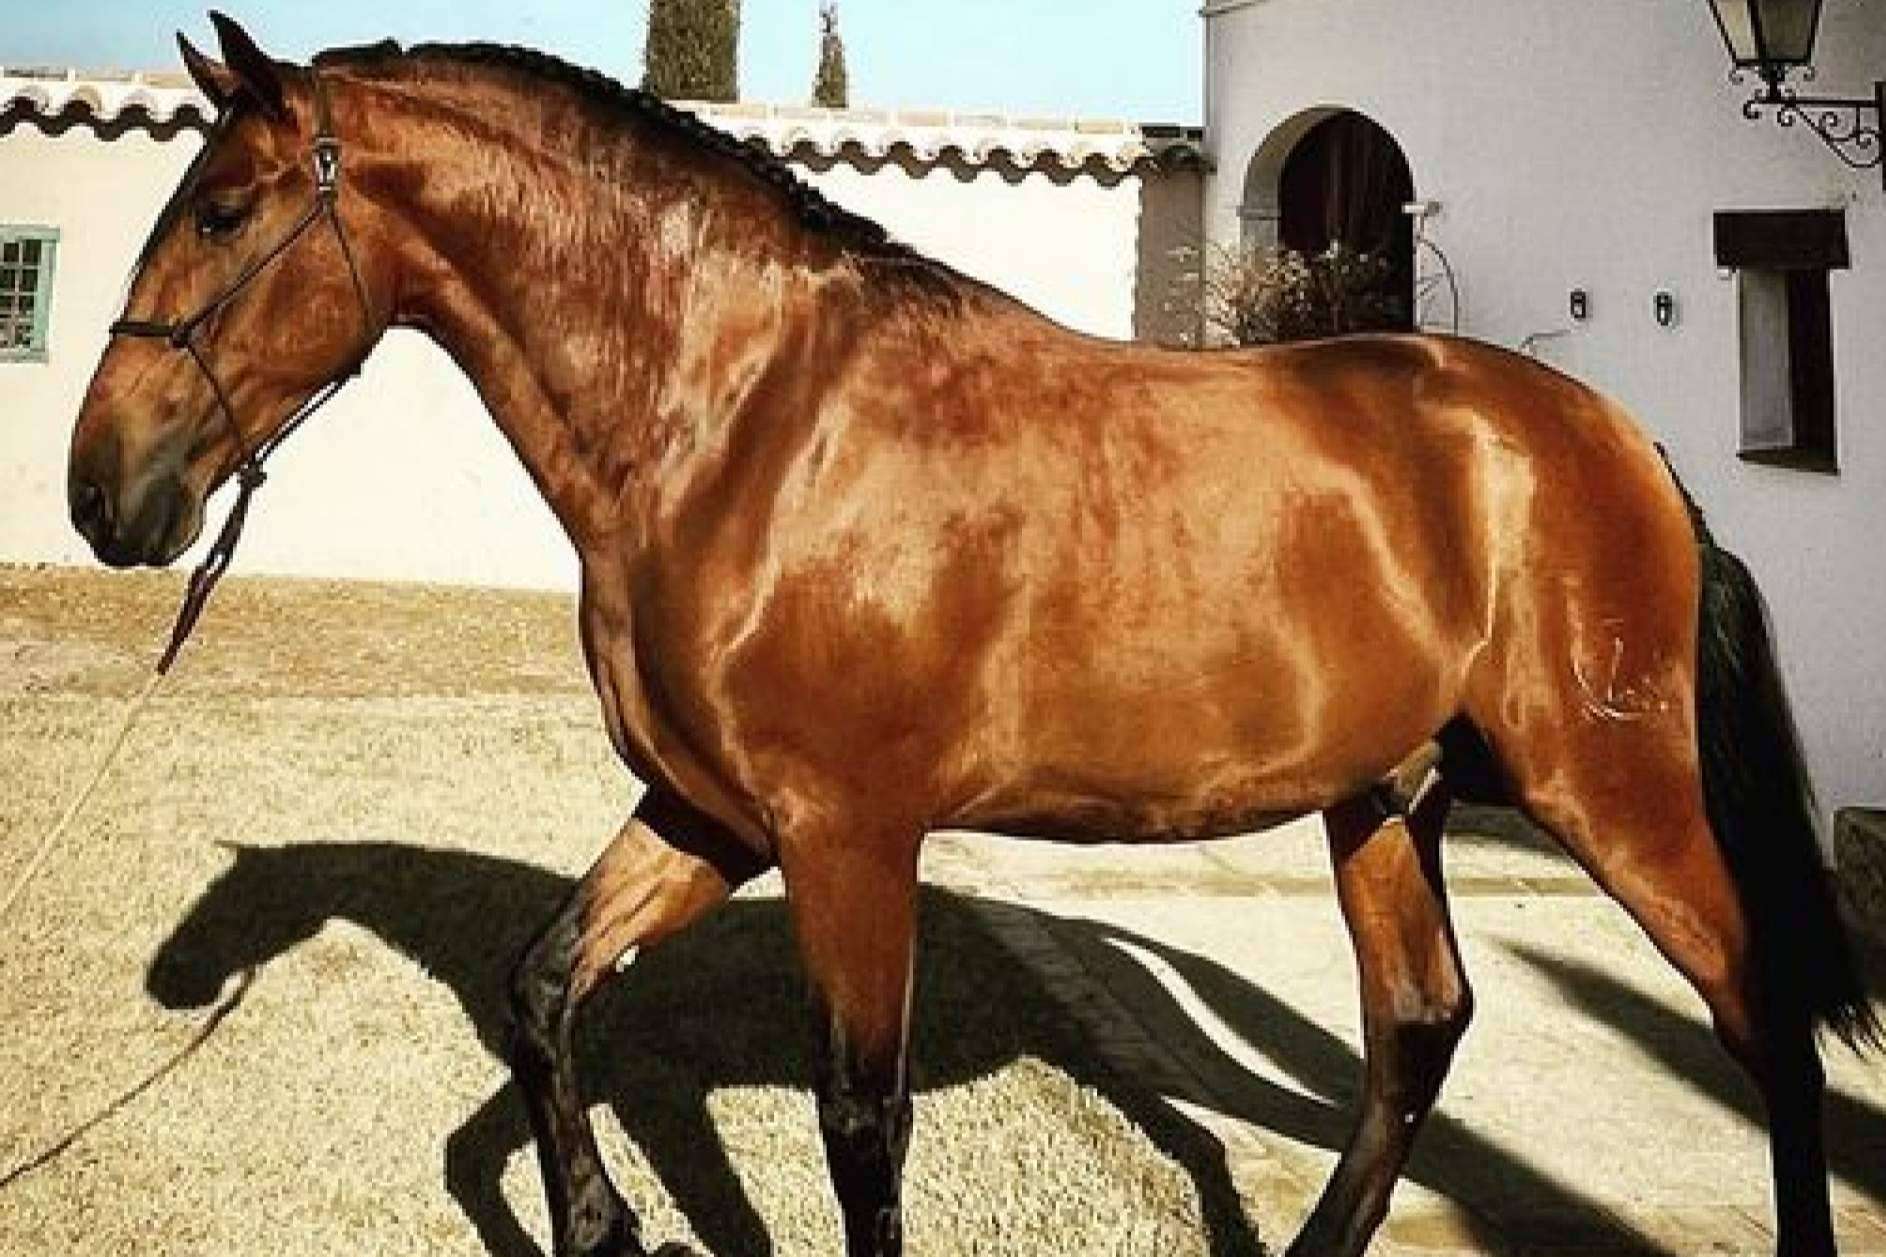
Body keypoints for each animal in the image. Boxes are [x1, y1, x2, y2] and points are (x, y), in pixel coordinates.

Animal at [66, 14, 1876, 1256]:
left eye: (223, 210)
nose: (103, 490)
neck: (745, 422)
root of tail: (1624, 449)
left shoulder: (850, 837)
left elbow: (860, 1126)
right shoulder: (712, 814)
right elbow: (542, 989)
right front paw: (603, 1224)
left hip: (1614, 792)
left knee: (1759, 1023)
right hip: (1383, 798)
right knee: (1418, 1028)